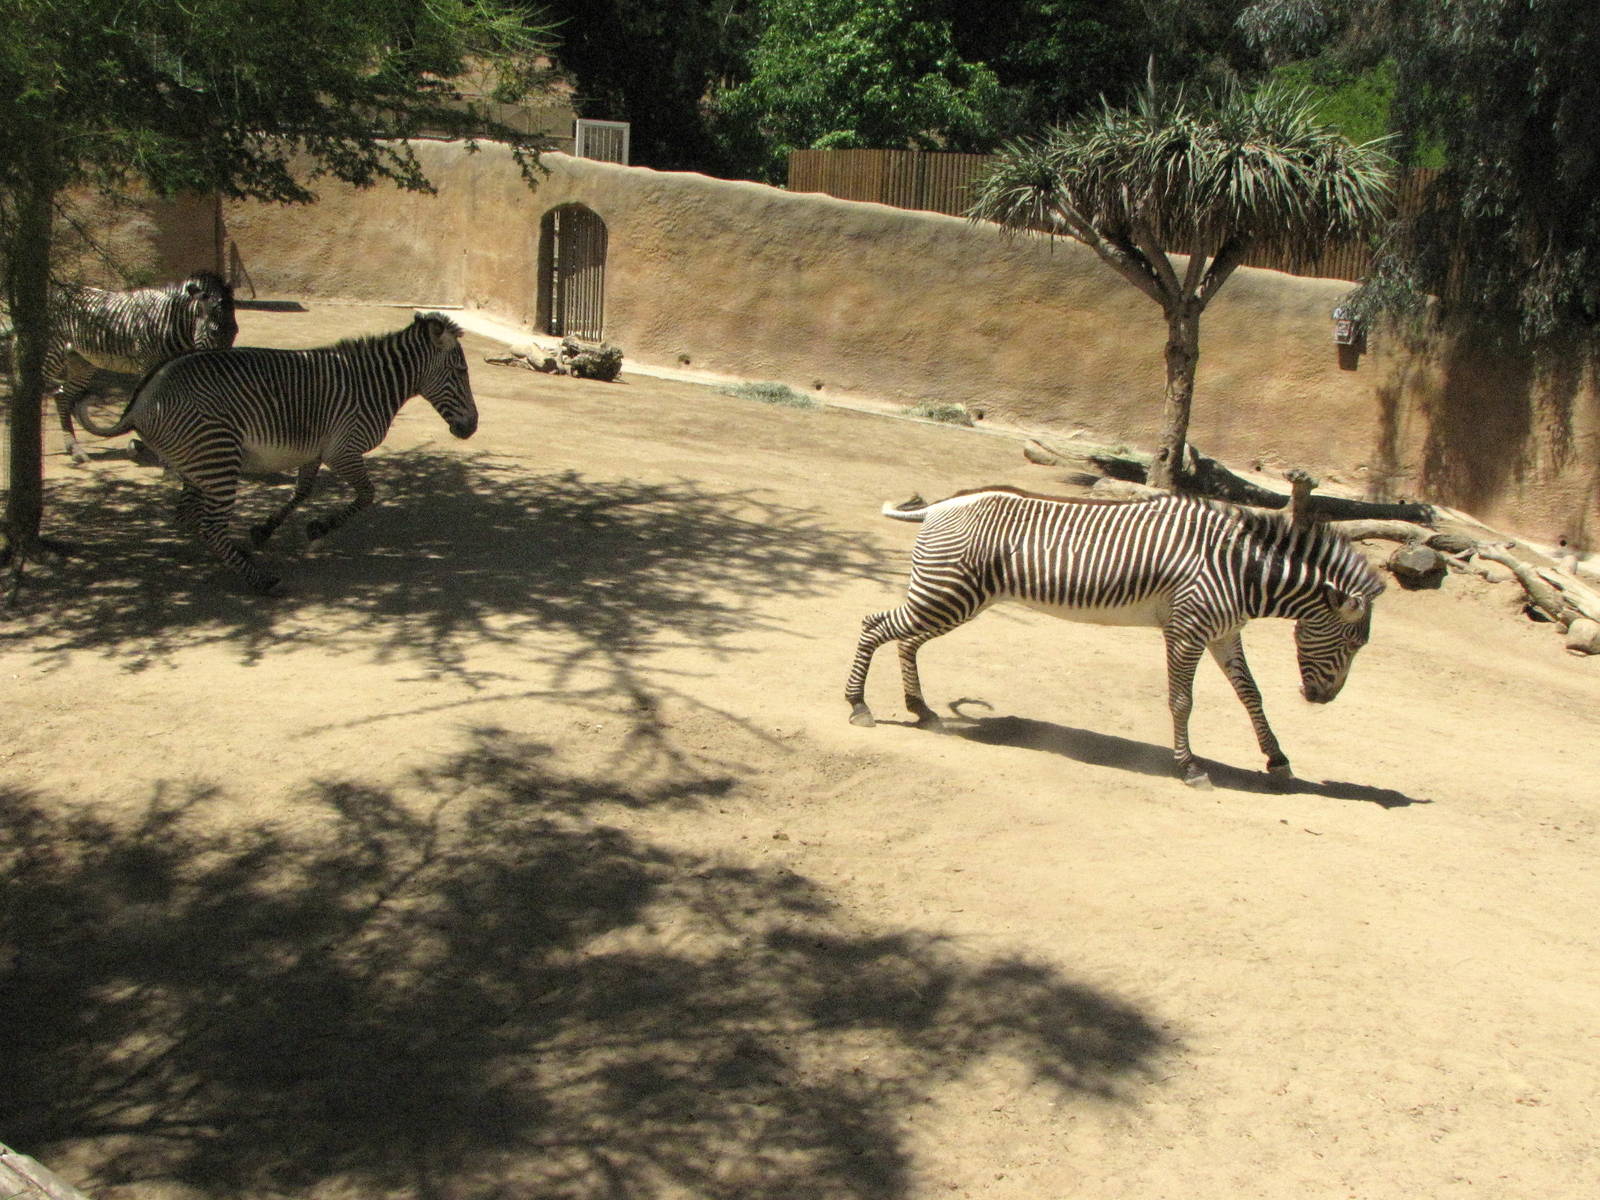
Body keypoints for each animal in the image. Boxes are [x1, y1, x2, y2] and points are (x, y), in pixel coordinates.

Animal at [44, 272, 238, 462]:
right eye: (213, 331)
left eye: (235, 331)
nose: (223, 370)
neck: (172, 324)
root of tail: (56, 291)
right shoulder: (147, 364)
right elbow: (153, 406)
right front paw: (146, 447)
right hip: (54, 352)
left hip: (82, 362)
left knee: (63, 396)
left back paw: (75, 449)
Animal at [75, 312, 477, 593]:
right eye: (459, 371)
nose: (470, 428)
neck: (374, 386)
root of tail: (142, 398)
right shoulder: (343, 449)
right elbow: (366, 495)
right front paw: (319, 527)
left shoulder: (315, 450)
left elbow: (302, 491)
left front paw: (265, 530)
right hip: (219, 457)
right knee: (208, 524)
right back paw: (260, 580)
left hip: (195, 463)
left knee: (188, 516)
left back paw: (230, 557)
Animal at [845, 486, 1385, 787]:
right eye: (1353, 645)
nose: (1322, 699)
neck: (1241, 570)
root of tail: (942, 505)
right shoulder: (1187, 628)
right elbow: (1182, 700)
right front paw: (1189, 768)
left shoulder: (1224, 632)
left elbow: (1251, 694)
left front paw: (1277, 760)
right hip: (948, 593)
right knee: (874, 625)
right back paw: (859, 706)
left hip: (953, 598)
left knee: (906, 640)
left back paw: (922, 710)